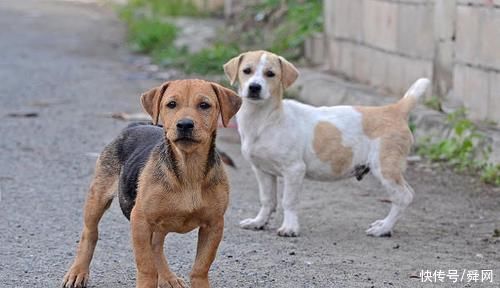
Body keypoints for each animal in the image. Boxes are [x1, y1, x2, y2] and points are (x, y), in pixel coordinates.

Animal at [61, 79, 241, 288]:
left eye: (204, 105)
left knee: (156, 245)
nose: (185, 124)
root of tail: (135, 125)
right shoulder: (140, 219)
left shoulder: (214, 224)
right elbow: (146, 267)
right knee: (90, 233)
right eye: (171, 104)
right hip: (98, 196)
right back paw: (77, 272)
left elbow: (200, 268)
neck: (189, 169)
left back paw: (167, 277)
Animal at [224, 50, 430, 237]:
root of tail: (395, 110)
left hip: (385, 168)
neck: (264, 119)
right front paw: (258, 222)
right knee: (405, 194)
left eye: (270, 74)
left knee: (404, 197)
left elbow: (288, 202)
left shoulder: (294, 170)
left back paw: (384, 228)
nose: (254, 87)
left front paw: (289, 228)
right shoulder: (262, 170)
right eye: (247, 71)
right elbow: (267, 200)